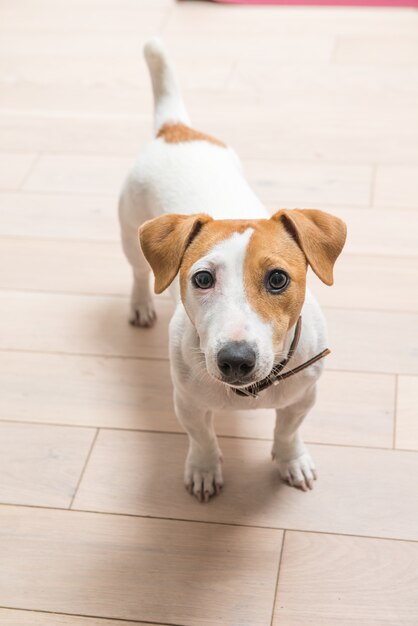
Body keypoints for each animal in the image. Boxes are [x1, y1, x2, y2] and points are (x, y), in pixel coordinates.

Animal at [118, 39, 346, 500]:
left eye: (278, 279)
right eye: (202, 278)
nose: (235, 360)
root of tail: (176, 130)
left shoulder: (303, 397)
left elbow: (288, 432)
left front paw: (291, 460)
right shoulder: (187, 402)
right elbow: (202, 437)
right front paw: (205, 469)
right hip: (130, 232)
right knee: (139, 273)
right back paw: (140, 304)